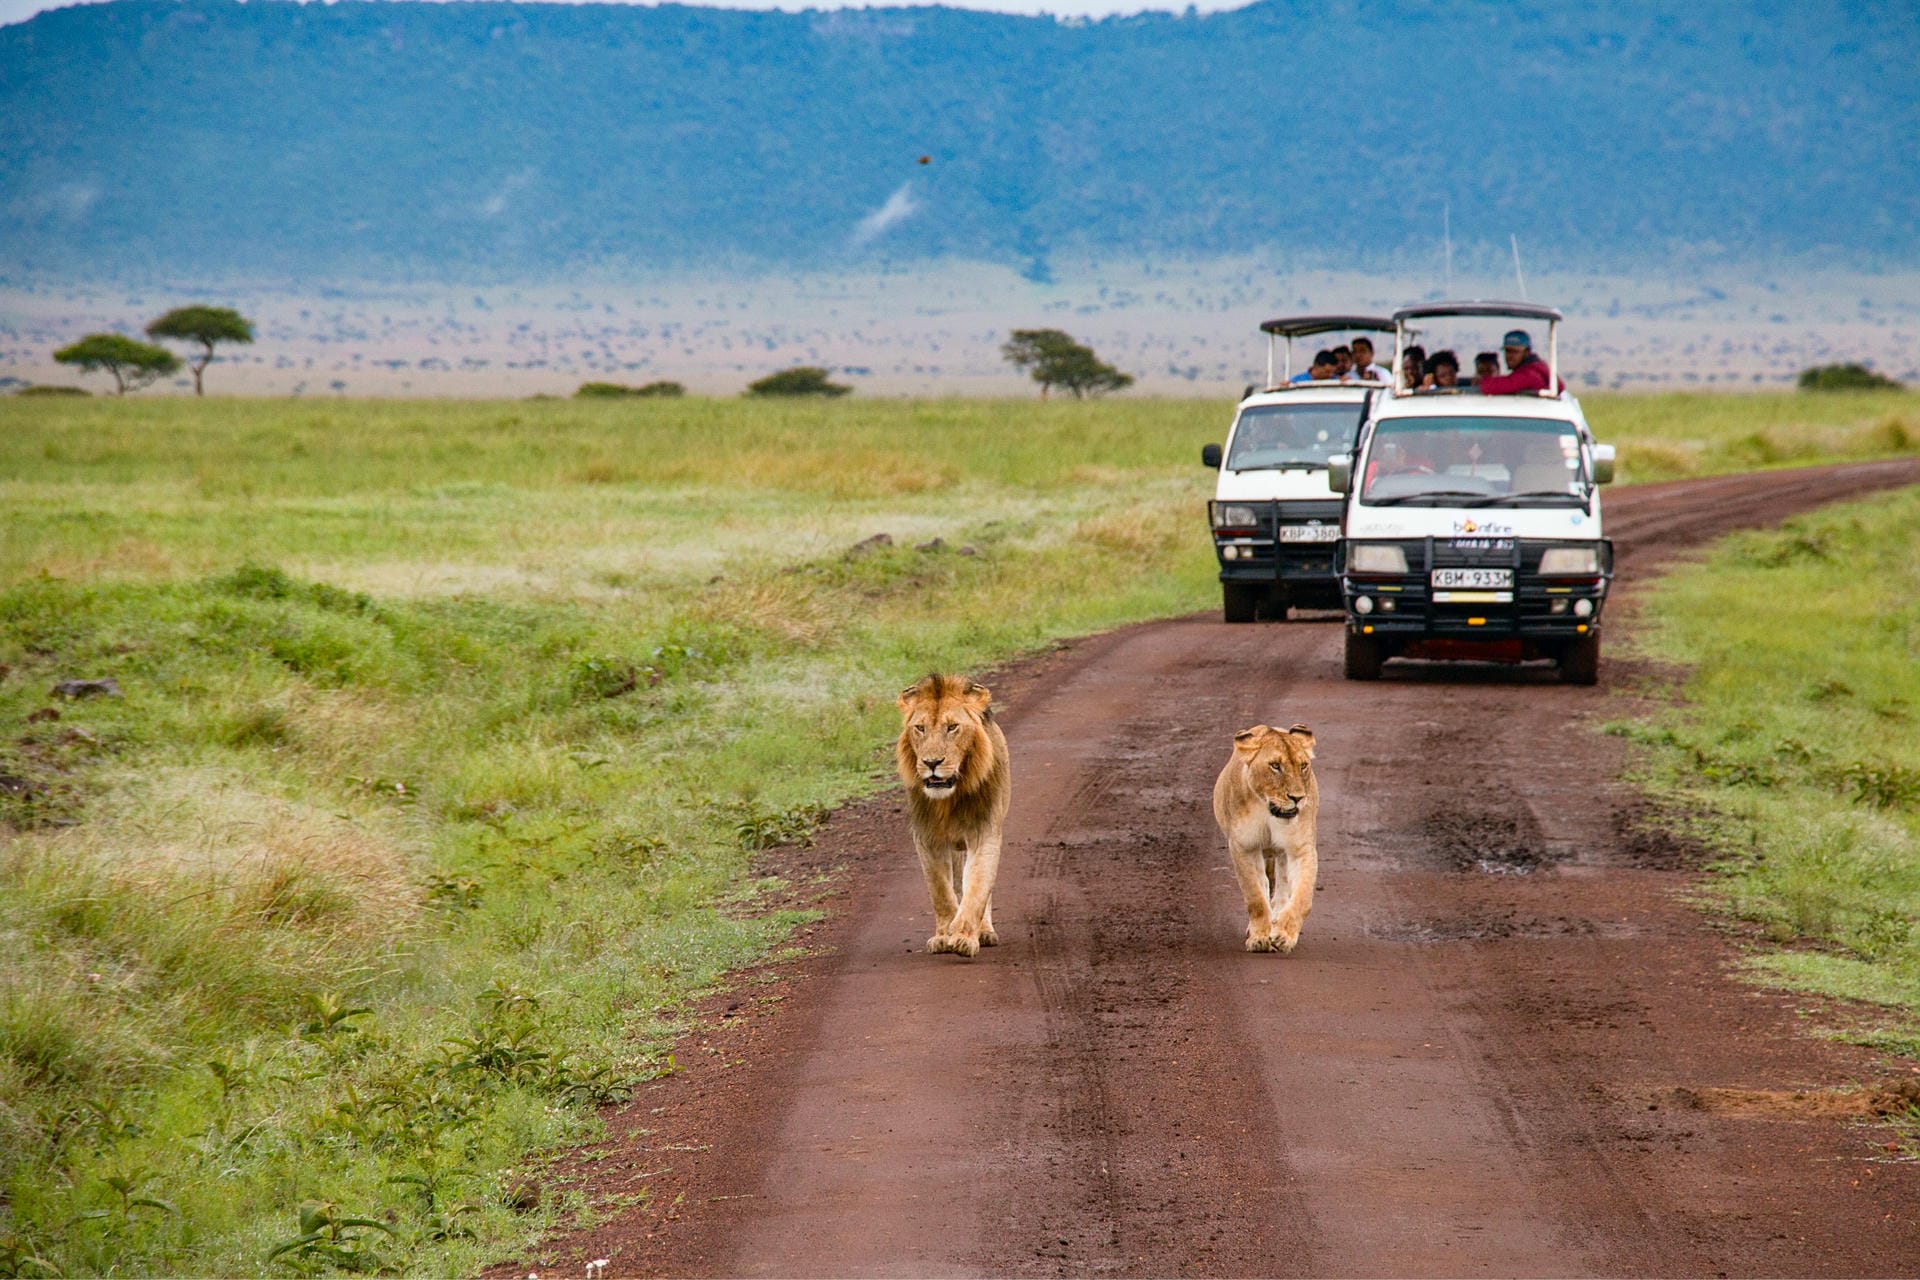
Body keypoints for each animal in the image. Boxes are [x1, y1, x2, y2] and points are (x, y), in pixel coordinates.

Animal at [896, 673, 1011, 958]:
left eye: (952, 727)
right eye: (920, 728)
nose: (932, 763)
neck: (948, 800)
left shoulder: (985, 834)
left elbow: (977, 888)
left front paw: (964, 938)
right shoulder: (926, 838)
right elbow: (940, 892)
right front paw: (944, 937)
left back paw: (985, 931)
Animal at [1211, 723, 1319, 953]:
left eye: (1303, 765)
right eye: (1275, 766)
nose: (1297, 798)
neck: (1269, 811)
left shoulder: (1301, 848)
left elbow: (1302, 897)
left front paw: (1284, 935)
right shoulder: (1243, 847)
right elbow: (1256, 896)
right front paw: (1259, 938)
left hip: (1282, 854)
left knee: (1283, 885)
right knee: (1266, 883)